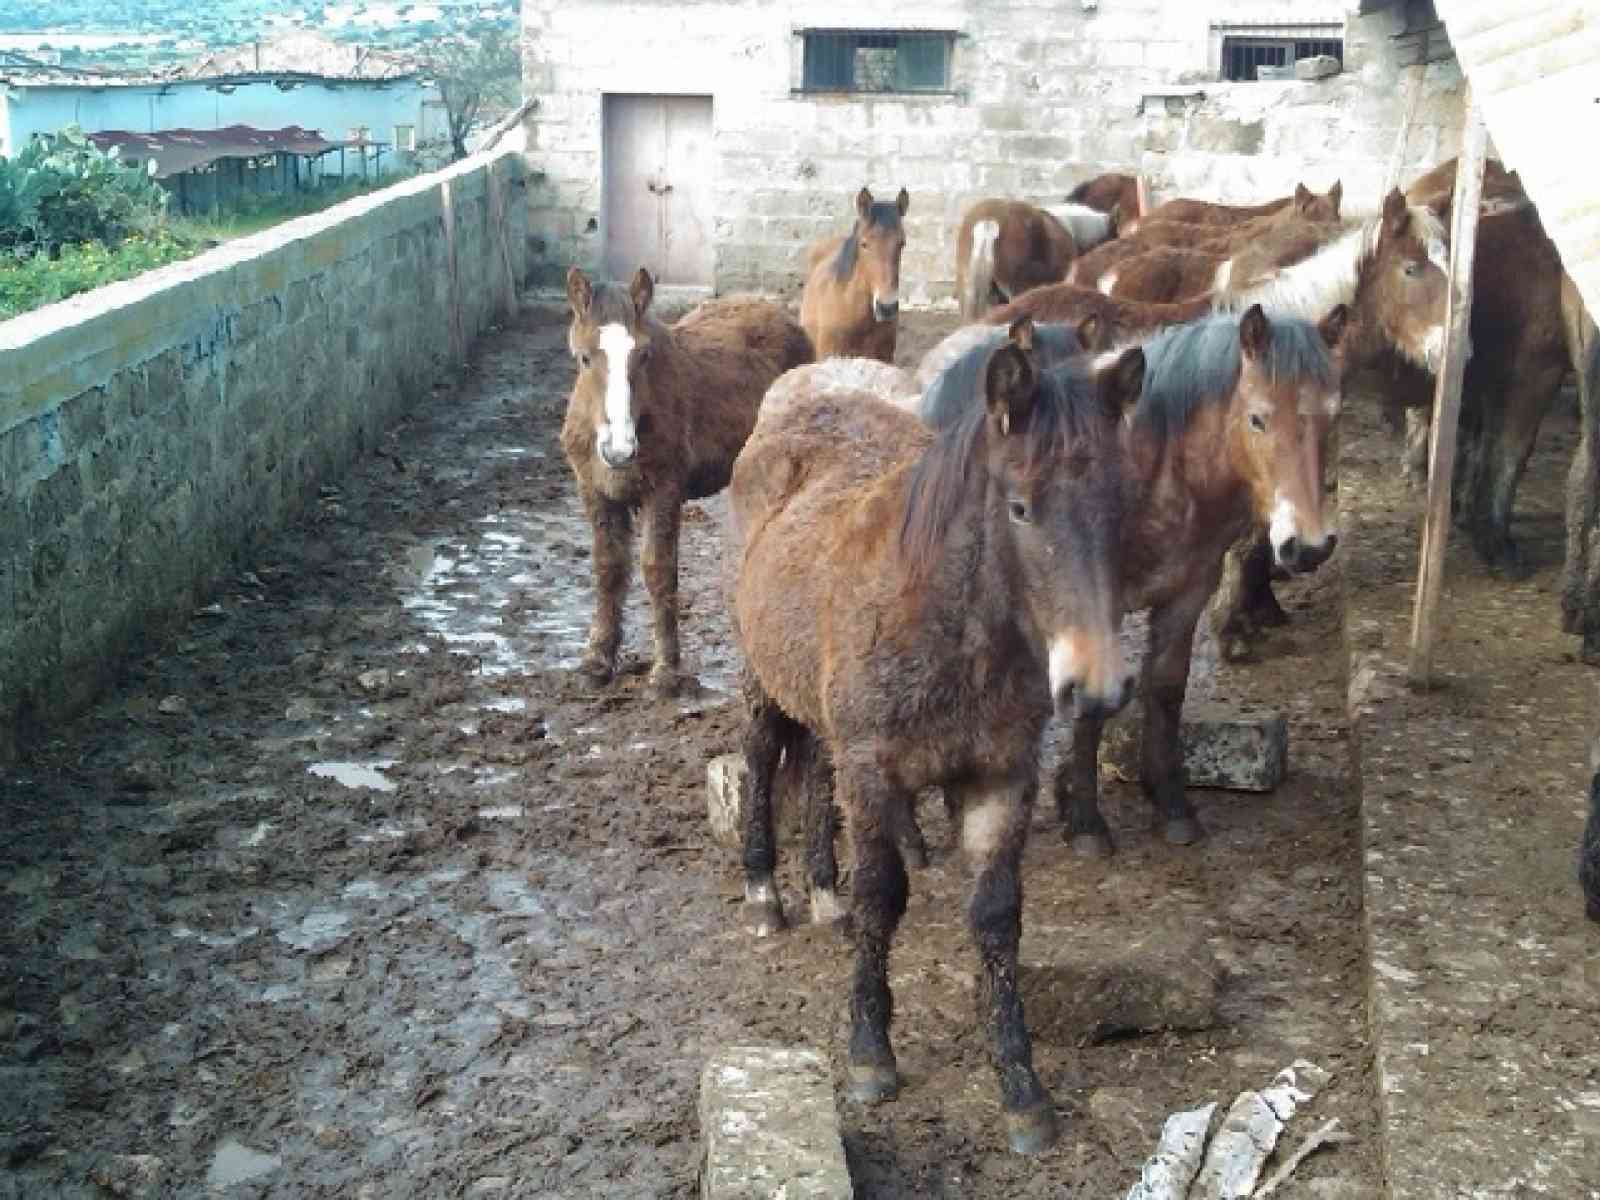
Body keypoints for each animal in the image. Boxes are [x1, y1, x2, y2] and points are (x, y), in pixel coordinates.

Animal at [560, 266, 812, 693]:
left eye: (644, 355)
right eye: (584, 358)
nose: (619, 451)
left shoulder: (663, 491)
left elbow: (658, 570)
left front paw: (666, 671)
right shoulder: (594, 491)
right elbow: (608, 568)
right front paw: (597, 661)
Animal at [730, 319, 1145, 1152]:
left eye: (1119, 504)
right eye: (1019, 507)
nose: (1097, 685)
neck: (952, 632)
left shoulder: (1000, 778)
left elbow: (996, 917)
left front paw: (1021, 1087)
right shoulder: (875, 772)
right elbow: (883, 896)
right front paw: (870, 1055)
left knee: (813, 770)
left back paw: (821, 894)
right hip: (765, 677)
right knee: (762, 758)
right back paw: (765, 890)